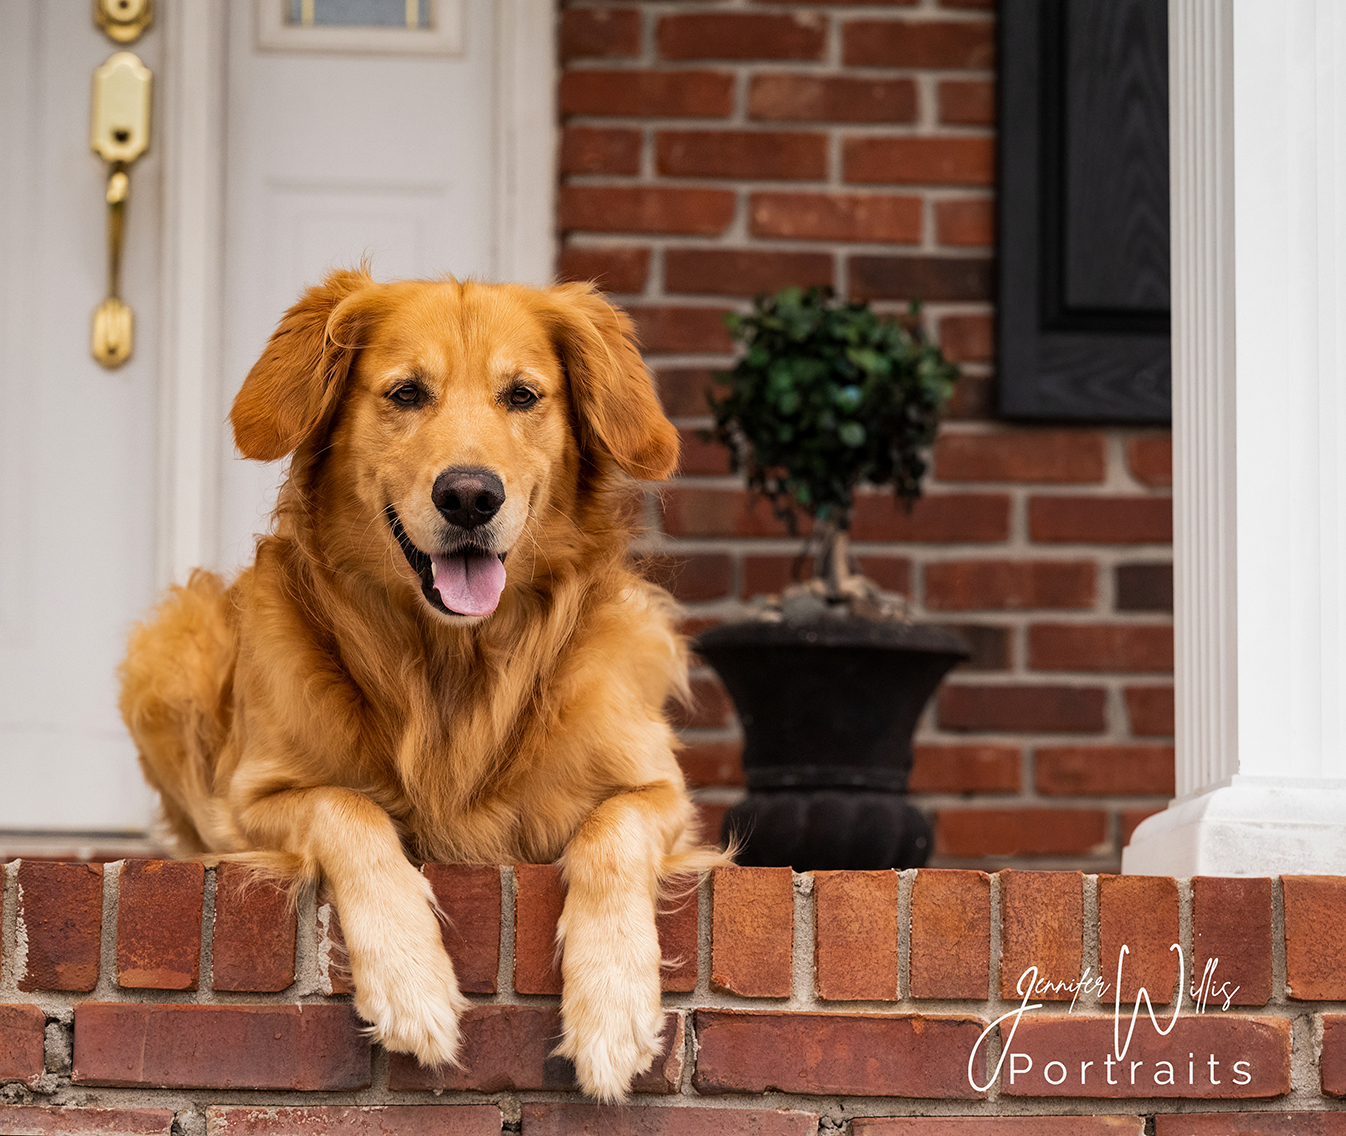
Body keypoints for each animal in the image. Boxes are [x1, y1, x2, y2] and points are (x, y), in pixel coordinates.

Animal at [121, 266, 721, 1098]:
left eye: (522, 395)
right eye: (406, 393)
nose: (470, 495)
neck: (453, 663)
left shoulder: (661, 794)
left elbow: (612, 827)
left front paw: (614, 1008)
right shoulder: (247, 801)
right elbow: (348, 808)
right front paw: (411, 985)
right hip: (169, 646)